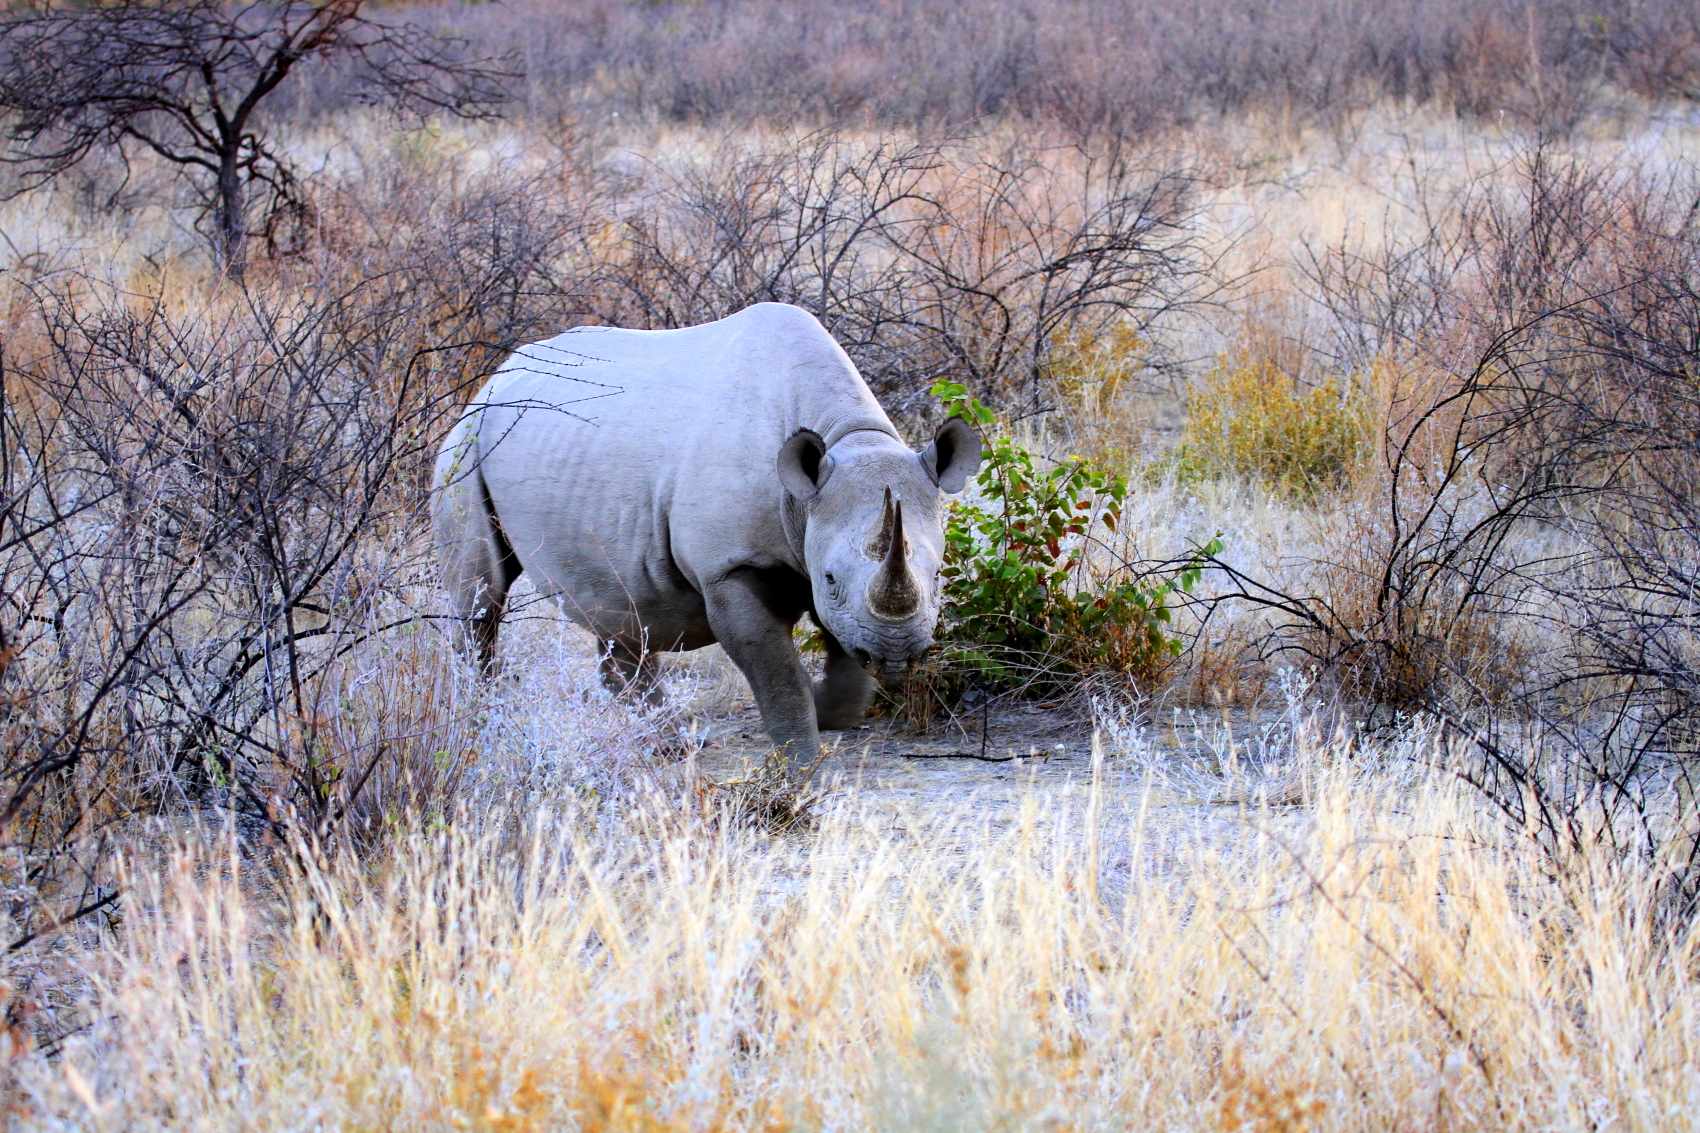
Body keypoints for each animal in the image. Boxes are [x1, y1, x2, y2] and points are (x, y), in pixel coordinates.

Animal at [433, 303, 982, 775]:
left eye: (938, 575)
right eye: (829, 578)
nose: (897, 654)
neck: (848, 437)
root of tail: (496, 375)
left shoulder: (819, 537)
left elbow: (844, 650)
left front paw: (828, 710)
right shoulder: (730, 565)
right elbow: (776, 670)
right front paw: (801, 763)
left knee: (614, 603)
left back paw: (666, 746)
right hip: (466, 442)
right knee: (482, 595)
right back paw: (482, 725)